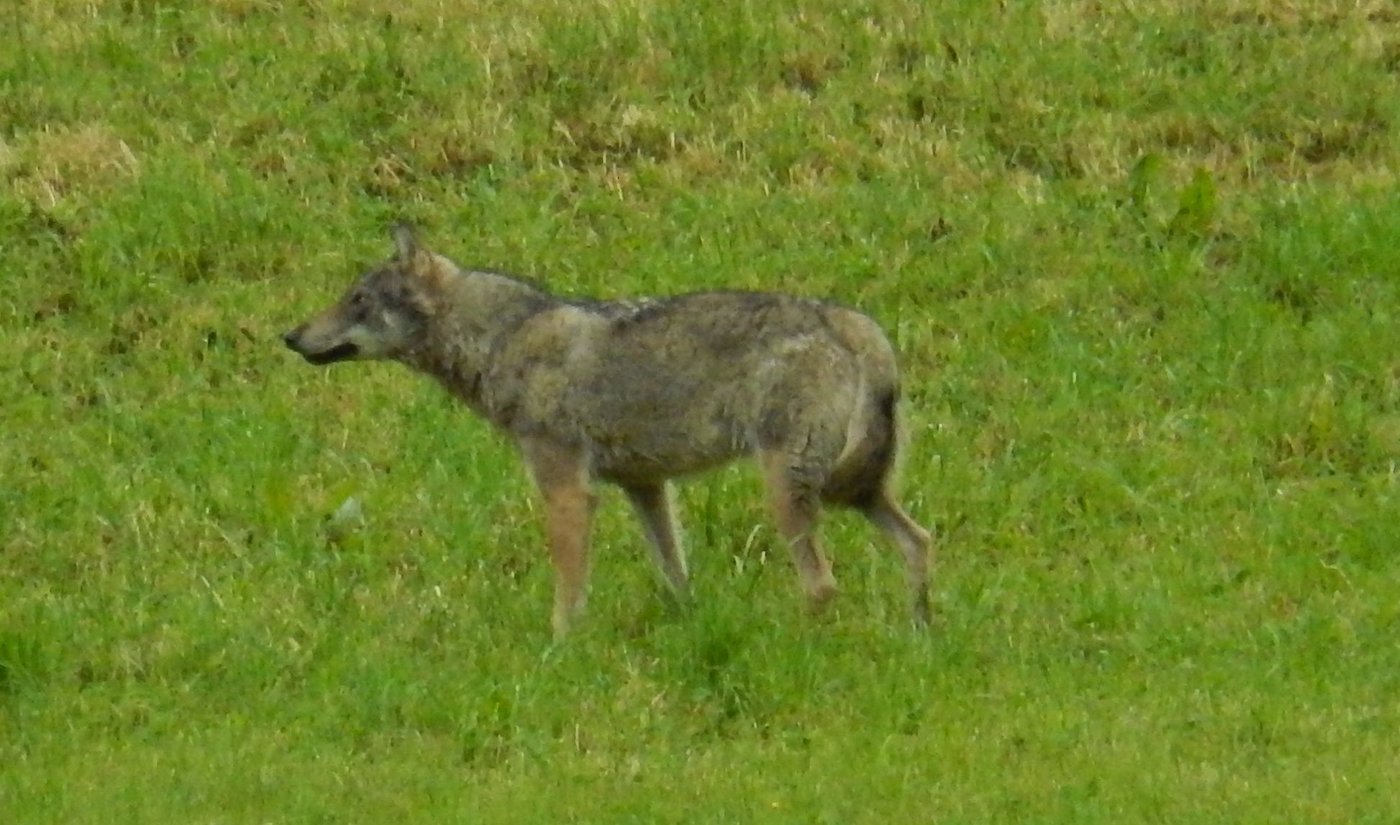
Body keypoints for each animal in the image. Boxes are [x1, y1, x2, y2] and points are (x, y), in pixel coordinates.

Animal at [282, 225, 933, 638]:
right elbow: (675, 575)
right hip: (854, 492)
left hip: (791, 491)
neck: (503, 342)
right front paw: (687, 632)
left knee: (822, 585)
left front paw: (559, 649)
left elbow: (568, 589)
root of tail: (854, 325)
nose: (290, 336)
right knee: (918, 541)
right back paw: (920, 636)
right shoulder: (644, 486)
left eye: (358, 300)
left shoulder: (568, 489)